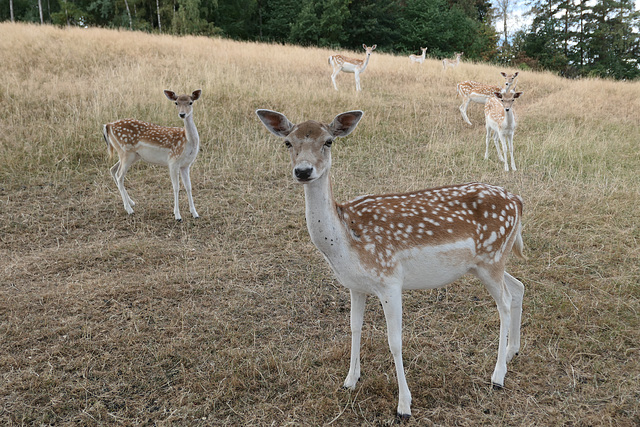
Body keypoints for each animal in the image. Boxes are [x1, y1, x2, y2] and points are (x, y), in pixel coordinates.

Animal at [104, 90, 201, 224]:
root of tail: (108, 125)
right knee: (119, 175)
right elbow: (176, 187)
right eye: (176, 103)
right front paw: (177, 216)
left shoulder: (186, 165)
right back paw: (129, 209)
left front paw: (195, 213)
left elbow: (188, 187)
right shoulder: (173, 162)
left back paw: (131, 202)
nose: (182, 114)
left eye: (191, 102)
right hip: (125, 152)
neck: (187, 142)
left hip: (131, 155)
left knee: (113, 170)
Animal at [255, 108, 524, 420]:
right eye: (287, 142)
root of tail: (518, 202)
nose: (303, 171)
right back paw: (512, 352)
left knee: (504, 302)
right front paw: (350, 380)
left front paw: (404, 405)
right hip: (488, 262)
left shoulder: (390, 281)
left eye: (328, 141)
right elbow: (354, 327)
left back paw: (497, 376)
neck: (344, 241)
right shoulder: (355, 286)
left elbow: (394, 341)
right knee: (518, 287)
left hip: (492, 258)